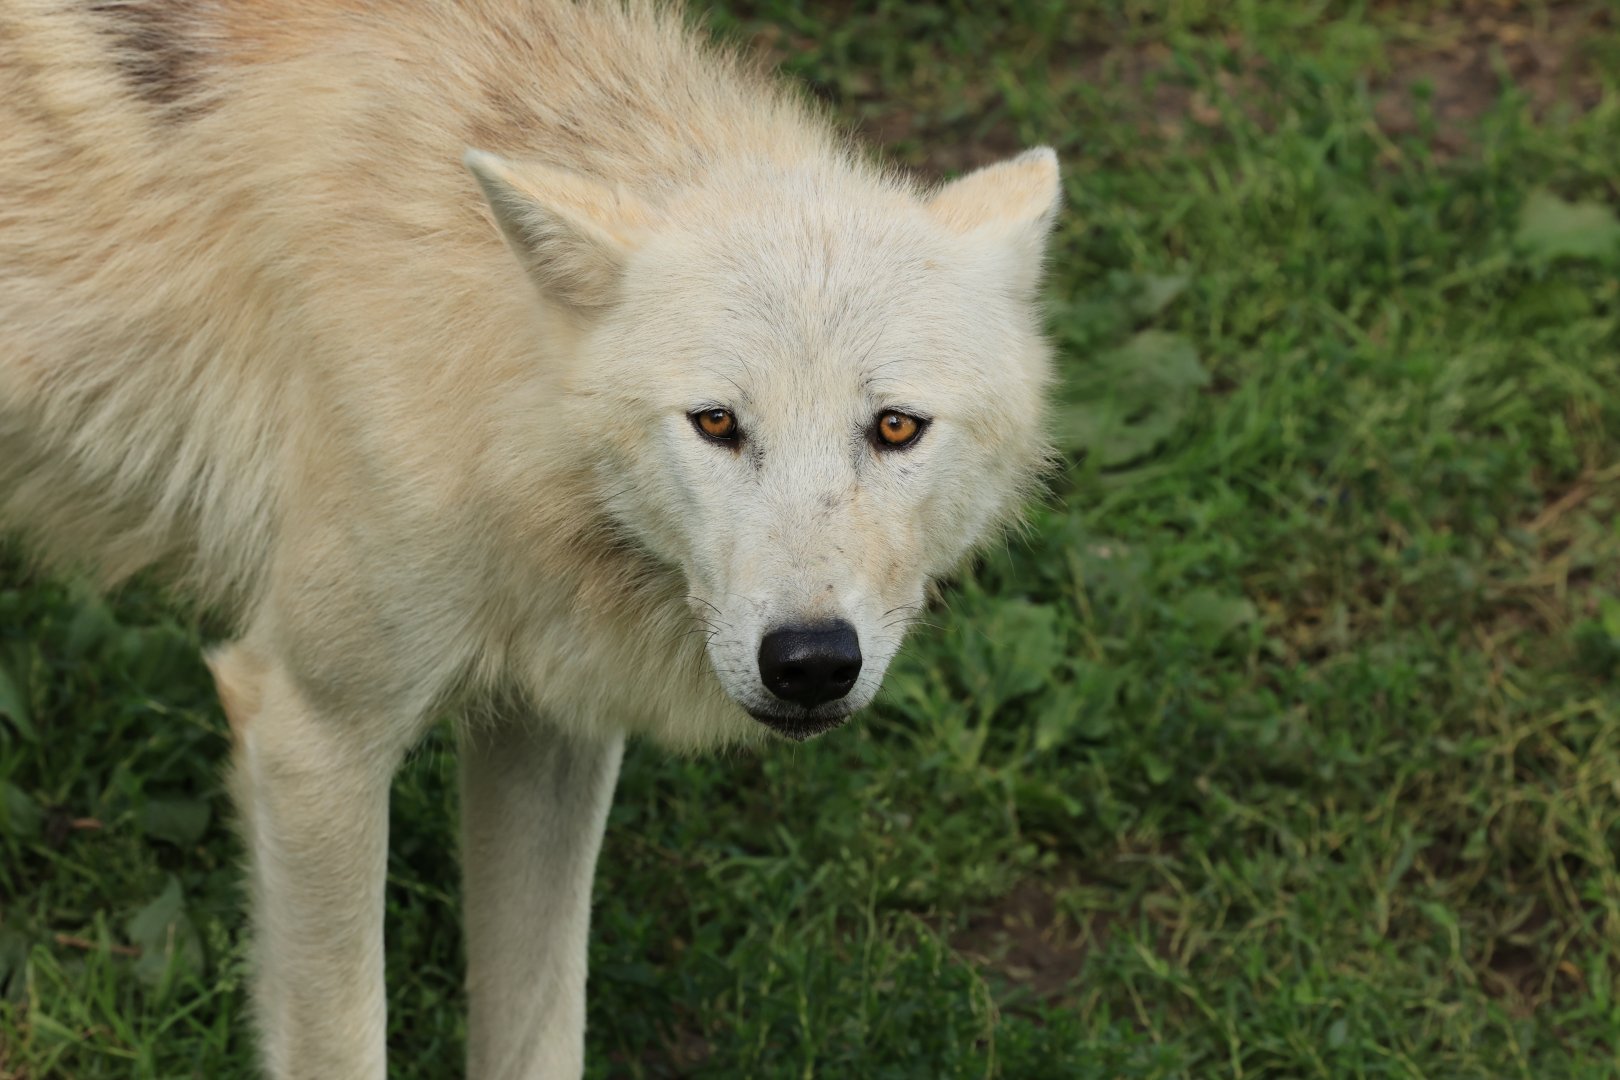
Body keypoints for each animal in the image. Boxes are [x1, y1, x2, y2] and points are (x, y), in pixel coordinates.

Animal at [0, 1, 1060, 1075]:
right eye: (717, 422)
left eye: (895, 427)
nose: (809, 662)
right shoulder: (312, 734)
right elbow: (345, 1038)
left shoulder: (552, 728)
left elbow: (540, 1025)